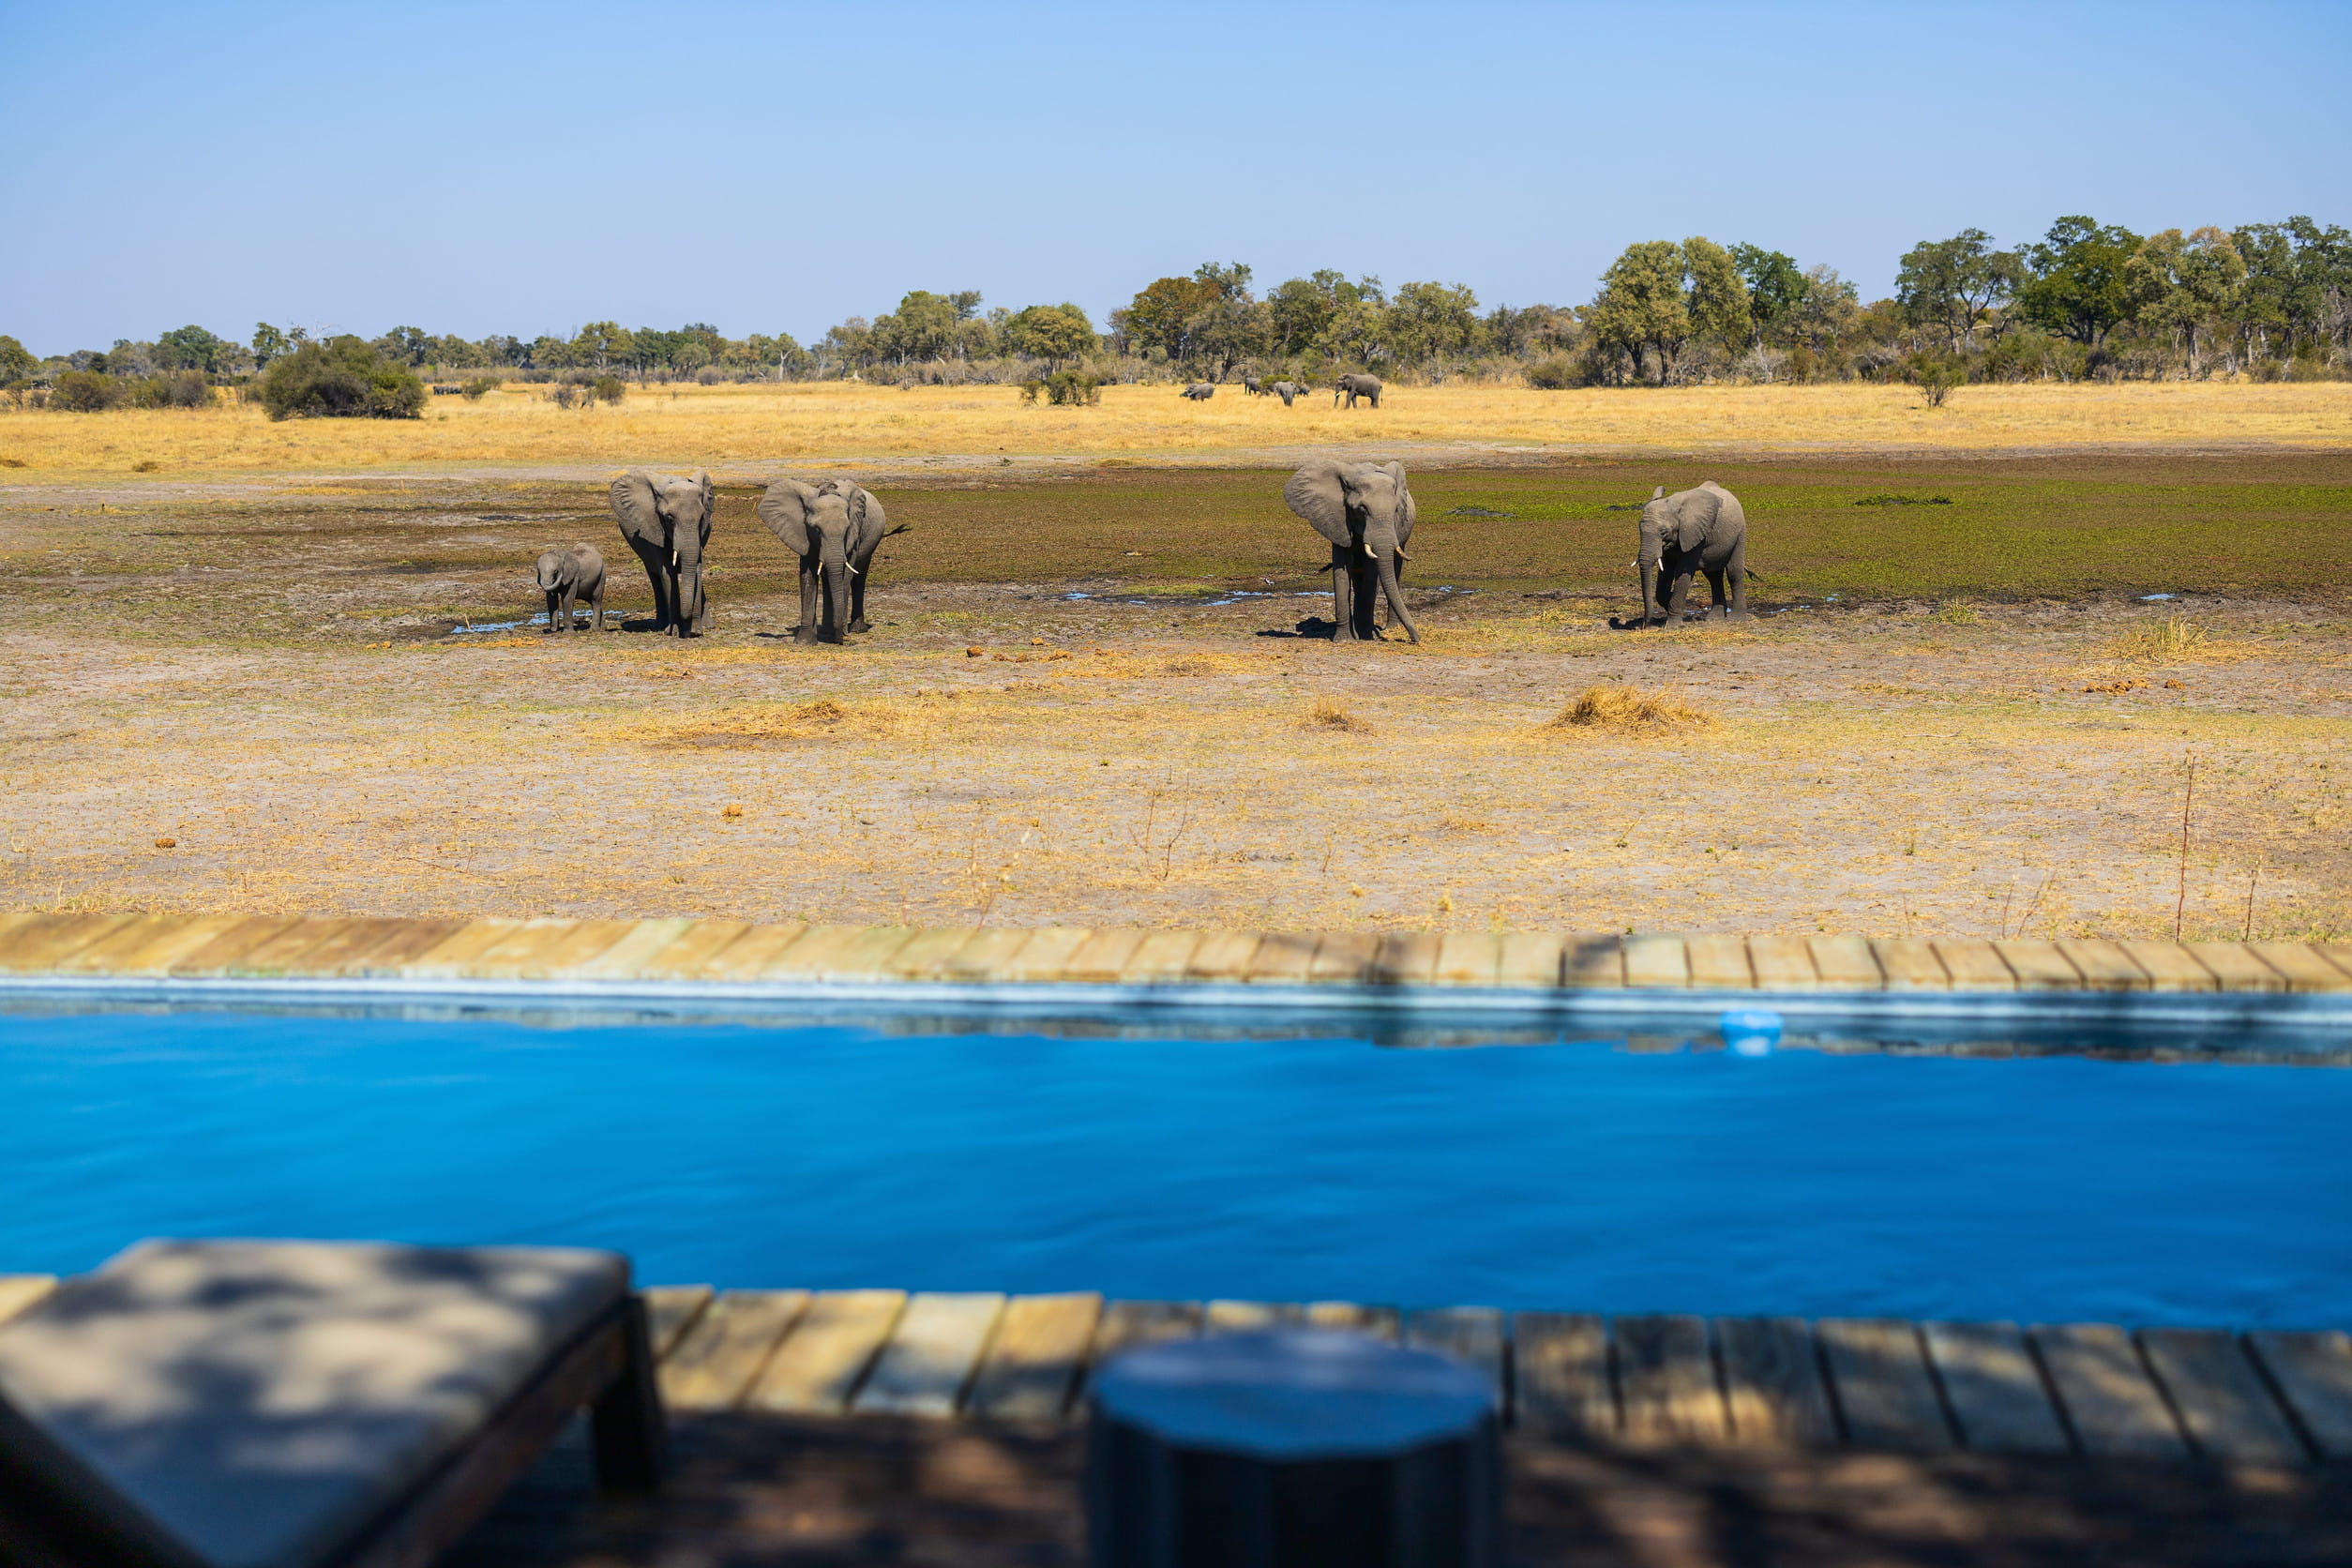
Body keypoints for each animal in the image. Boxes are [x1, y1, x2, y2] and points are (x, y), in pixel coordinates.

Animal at [608, 469, 713, 636]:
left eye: (702, 518)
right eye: (669, 519)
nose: (686, 624)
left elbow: (697, 568)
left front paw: (695, 632)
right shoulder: (653, 526)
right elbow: (667, 573)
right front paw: (674, 632)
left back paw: (709, 626)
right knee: (655, 577)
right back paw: (660, 625)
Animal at [757, 477, 907, 644]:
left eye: (847, 529)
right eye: (815, 529)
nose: (842, 639)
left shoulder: (855, 534)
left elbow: (845, 575)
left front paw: (840, 634)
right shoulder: (804, 535)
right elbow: (808, 576)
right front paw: (804, 642)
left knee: (858, 578)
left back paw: (856, 629)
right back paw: (827, 631)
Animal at [1284, 457, 1419, 644]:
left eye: (1396, 510)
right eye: (1362, 509)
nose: (1415, 639)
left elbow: (1372, 572)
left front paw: (1366, 636)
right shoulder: (1336, 517)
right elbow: (1341, 572)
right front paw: (1344, 639)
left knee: (1395, 567)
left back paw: (1390, 628)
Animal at [1632, 481, 1752, 626]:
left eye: (1663, 532)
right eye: (1640, 529)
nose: (1645, 625)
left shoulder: (1694, 533)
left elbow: (1682, 571)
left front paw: (1673, 625)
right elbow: (1666, 572)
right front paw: (1672, 601)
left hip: (1740, 533)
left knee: (1734, 572)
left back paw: (1736, 619)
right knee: (1713, 576)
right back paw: (1714, 618)